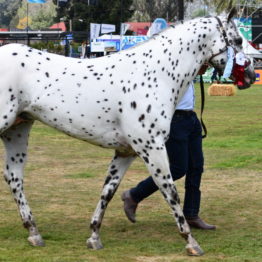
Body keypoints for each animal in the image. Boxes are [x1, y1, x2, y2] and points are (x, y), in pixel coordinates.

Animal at [0, 8, 256, 256]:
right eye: (238, 40)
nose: (252, 76)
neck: (156, 74)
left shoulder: (126, 152)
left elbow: (108, 191)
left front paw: (94, 237)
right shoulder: (151, 147)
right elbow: (169, 190)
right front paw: (191, 242)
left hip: (17, 130)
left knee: (14, 177)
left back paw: (34, 232)